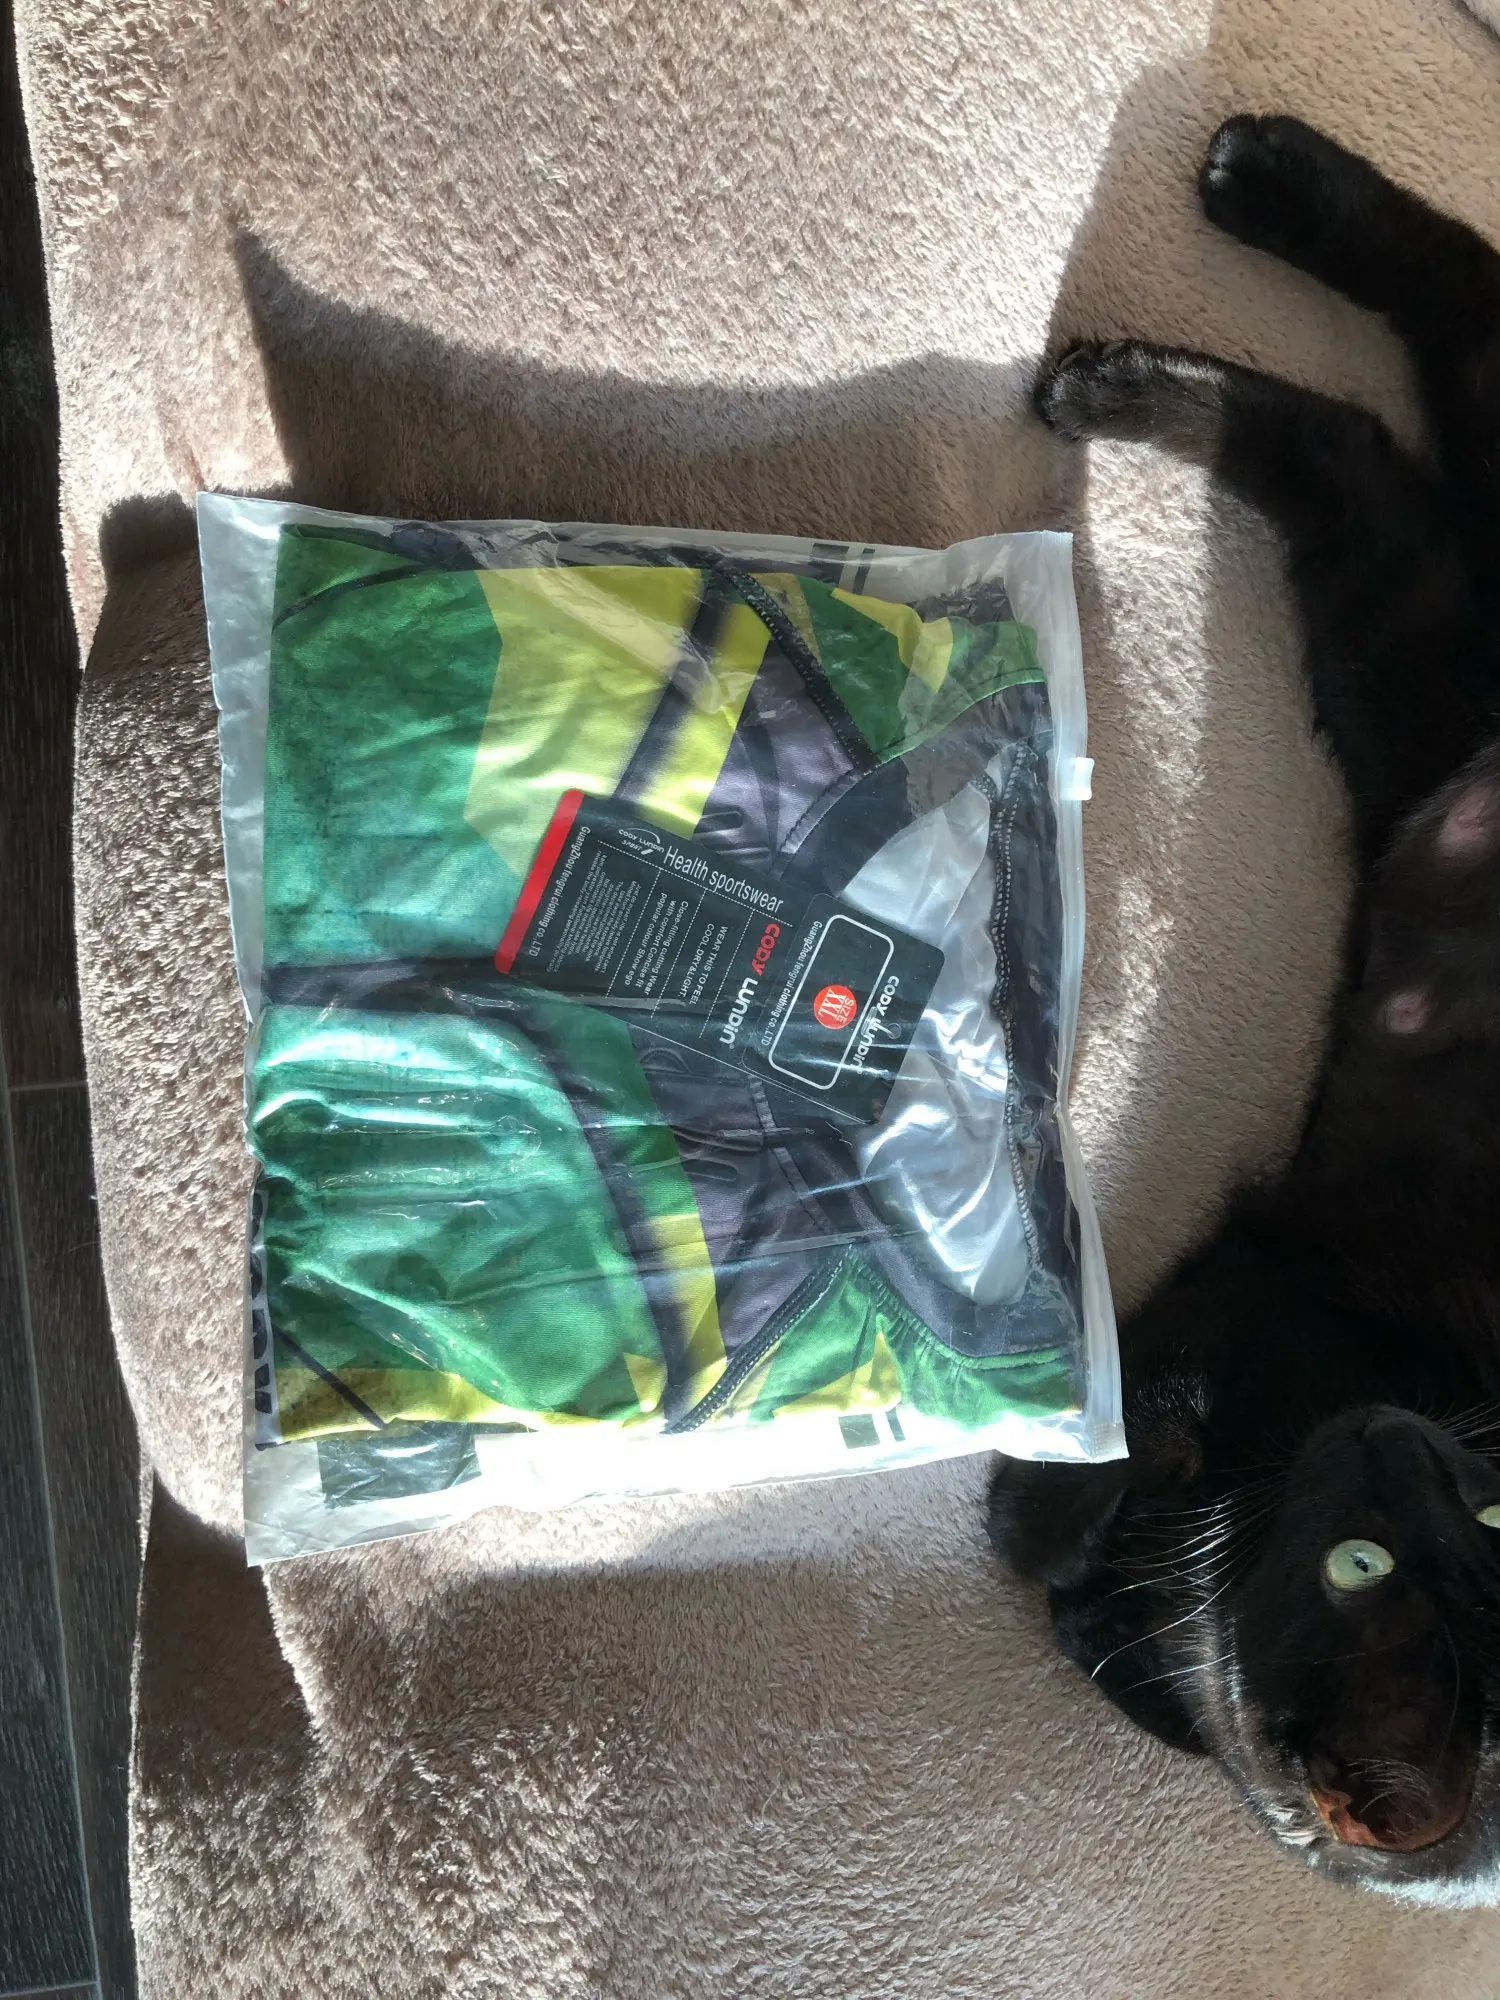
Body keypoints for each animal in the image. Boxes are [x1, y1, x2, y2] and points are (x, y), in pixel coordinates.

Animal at [988, 114, 1500, 1901]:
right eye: (1368, 1561)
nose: (1399, 1444)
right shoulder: (1260, 1293)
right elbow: (1117, 1420)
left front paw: (1035, 1517)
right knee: (1439, 324)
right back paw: (1223, 224)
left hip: (1408, 667)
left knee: (1361, 441)